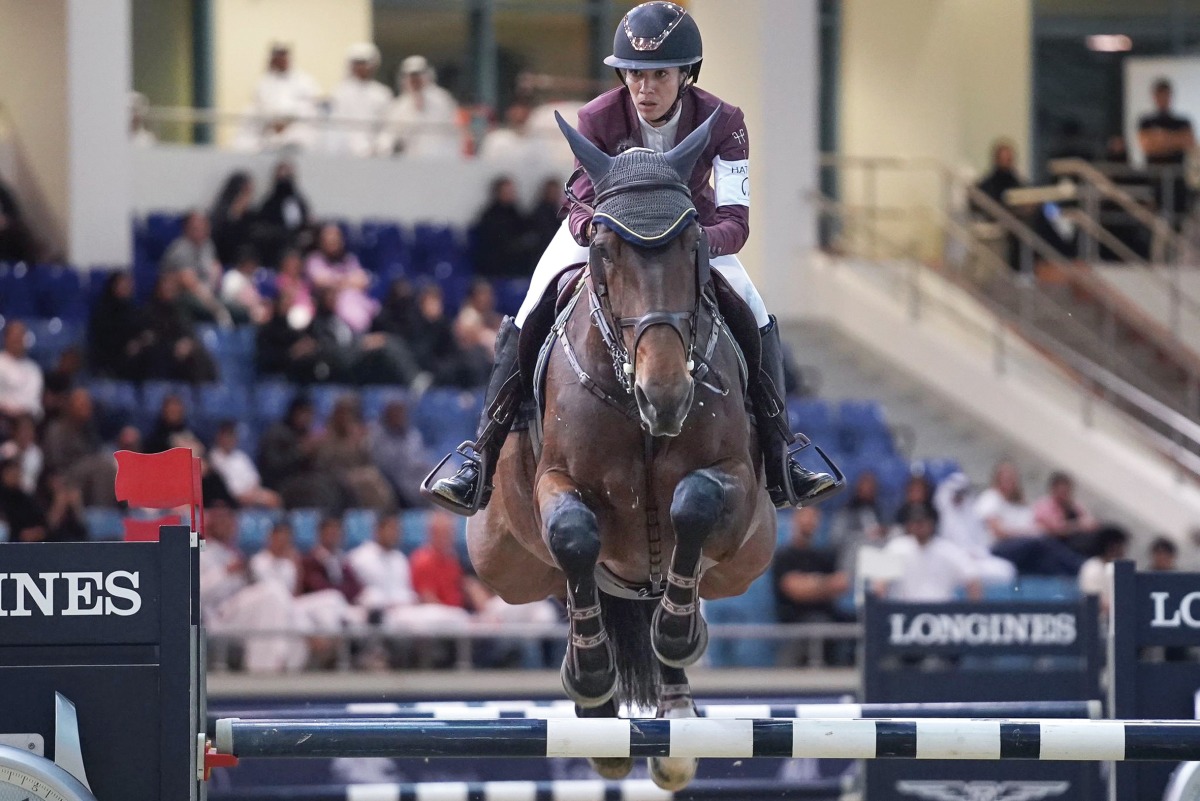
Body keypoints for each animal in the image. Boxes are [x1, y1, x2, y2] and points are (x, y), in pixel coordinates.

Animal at [463, 110, 772, 786]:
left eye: (694, 248)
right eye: (603, 250)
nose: (666, 394)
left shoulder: (735, 480)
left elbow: (693, 504)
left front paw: (679, 633)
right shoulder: (556, 481)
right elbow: (574, 535)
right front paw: (591, 677)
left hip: (748, 556)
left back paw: (677, 710)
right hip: (503, 561)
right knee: (568, 580)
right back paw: (599, 721)